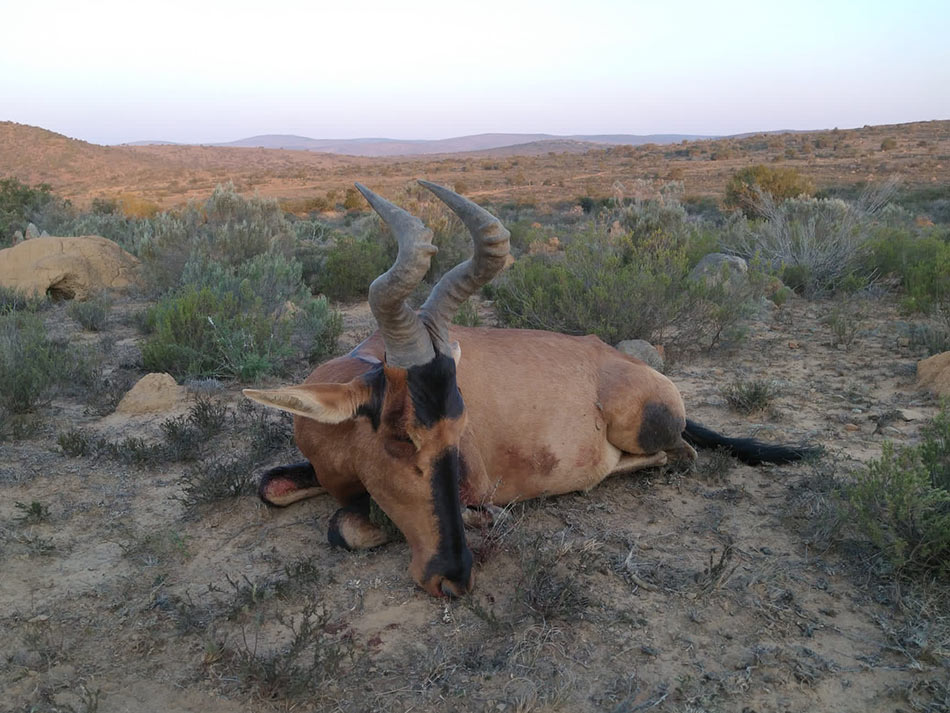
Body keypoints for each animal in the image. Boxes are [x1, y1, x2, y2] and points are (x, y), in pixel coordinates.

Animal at [244, 182, 812, 596]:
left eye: (459, 430)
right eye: (401, 437)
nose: (454, 578)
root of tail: (628, 363)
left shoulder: (472, 480)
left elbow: (355, 524)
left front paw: (483, 518)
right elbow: (275, 489)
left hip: (643, 430)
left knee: (681, 455)